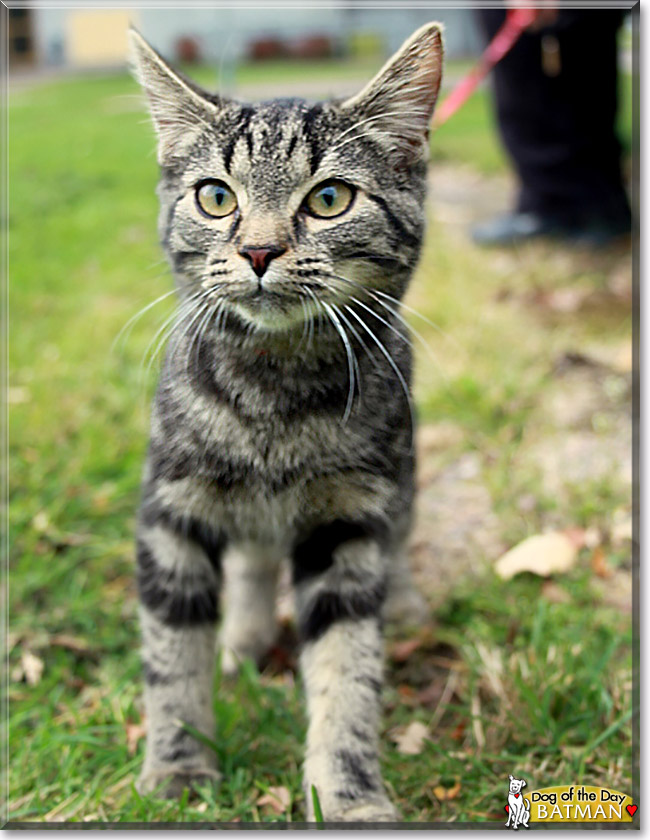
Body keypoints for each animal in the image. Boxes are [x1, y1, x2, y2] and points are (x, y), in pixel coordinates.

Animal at [128, 23, 440, 824]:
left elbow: (348, 670)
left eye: (329, 198)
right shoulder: (173, 509)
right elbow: (171, 656)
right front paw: (177, 765)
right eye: (215, 197)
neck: (276, 397)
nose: (259, 250)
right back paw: (242, 638)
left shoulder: (349, 525)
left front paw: (349, 793)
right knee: (250, 564)